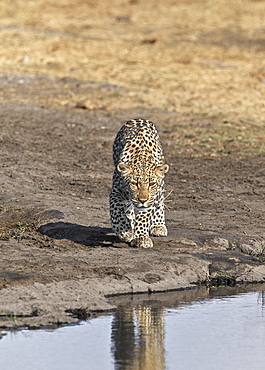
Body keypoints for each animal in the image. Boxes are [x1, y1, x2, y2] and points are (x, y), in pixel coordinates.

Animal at [109, 118, 167, 249]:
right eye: (134, 184)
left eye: (151, 184)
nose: (142, 200)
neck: (142, 158)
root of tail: (139, 119)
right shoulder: (116, 190)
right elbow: (116, 210)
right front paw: (124, 231)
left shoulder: (152, 198)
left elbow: (144, 217)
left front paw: (141, 238)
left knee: (160, 201)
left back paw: (158, 225)